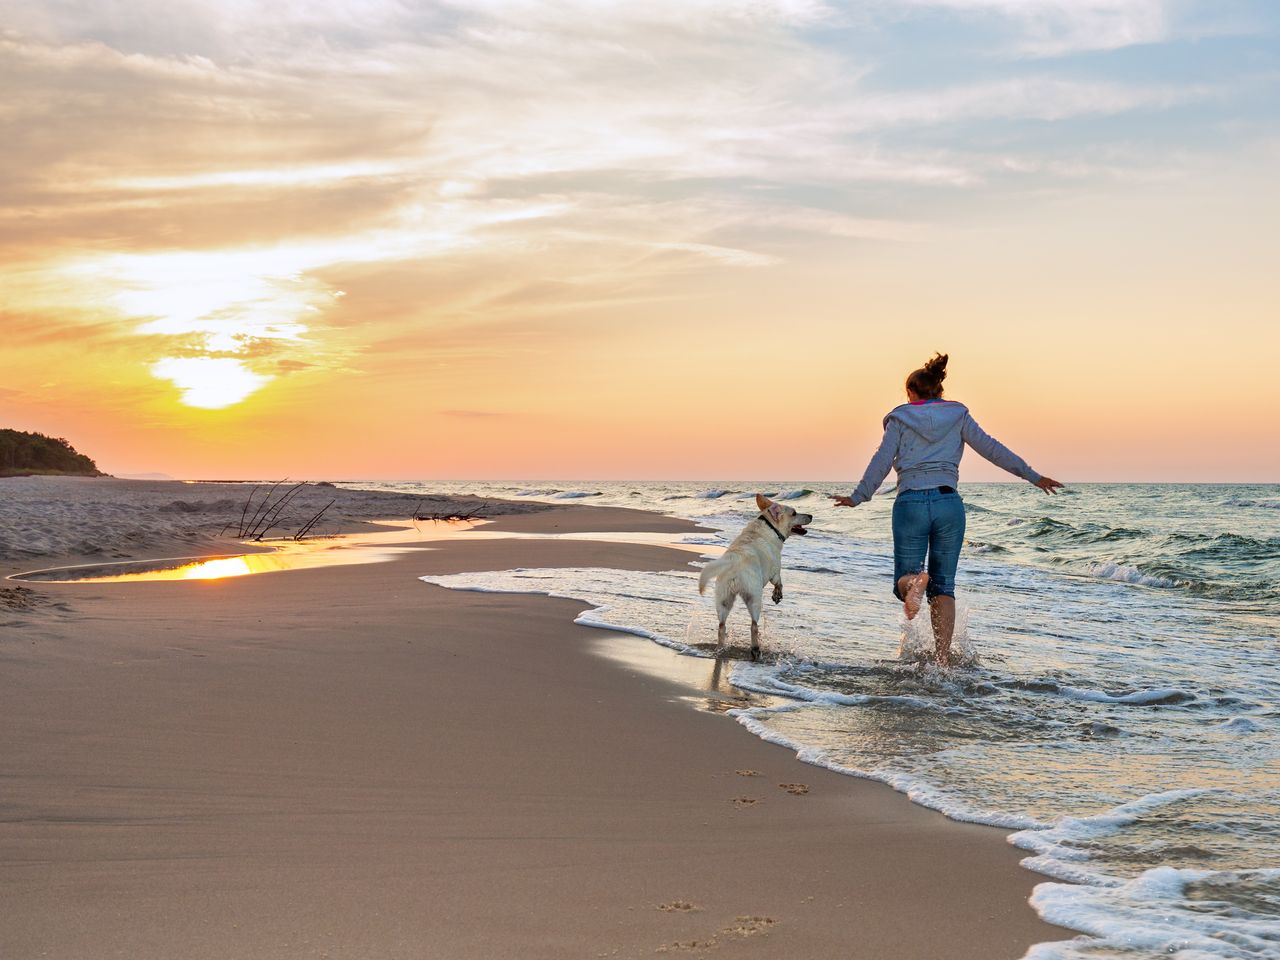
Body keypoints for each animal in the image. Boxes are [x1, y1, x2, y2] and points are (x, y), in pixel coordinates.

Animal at [701, 496, 808, 660]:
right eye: (794, 513)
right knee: (753, 625)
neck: (770, 526)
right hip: (754, 598)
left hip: (723, 598)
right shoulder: (775, 571)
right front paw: (777, 595)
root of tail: (734, 561)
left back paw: (720, 648)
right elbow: (779, 583)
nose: (811, 516)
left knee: (721, 626)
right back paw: (755, 650)